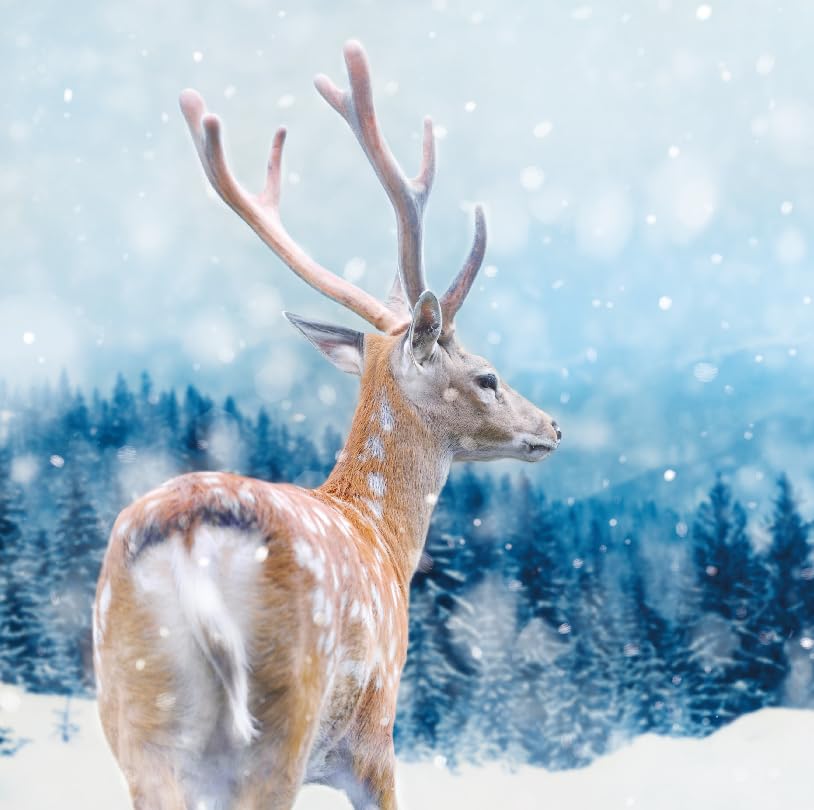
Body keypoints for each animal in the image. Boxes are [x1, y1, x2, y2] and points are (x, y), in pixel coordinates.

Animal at [93, 40, 561, 810]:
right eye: (487, 376)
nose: (551, 427)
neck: (384, 539)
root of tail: (188, 540)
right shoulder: (374, 738)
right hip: (284, 717)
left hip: (133, 721)